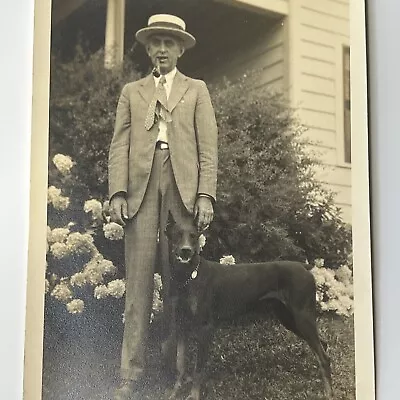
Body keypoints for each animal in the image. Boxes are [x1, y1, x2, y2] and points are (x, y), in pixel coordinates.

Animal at [163, 214, 334, 400]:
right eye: (177, 234)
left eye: (194, 236)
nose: (186, 250)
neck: (188, 276)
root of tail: (304, 267)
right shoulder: (181, 323)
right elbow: (180, 364)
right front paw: (174, 391)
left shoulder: (205, 328)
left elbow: (198, 369)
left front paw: (193, 395)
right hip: (288, 317)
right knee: (322, 346)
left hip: (302, 316)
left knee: (324, 356)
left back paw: (328, 392)